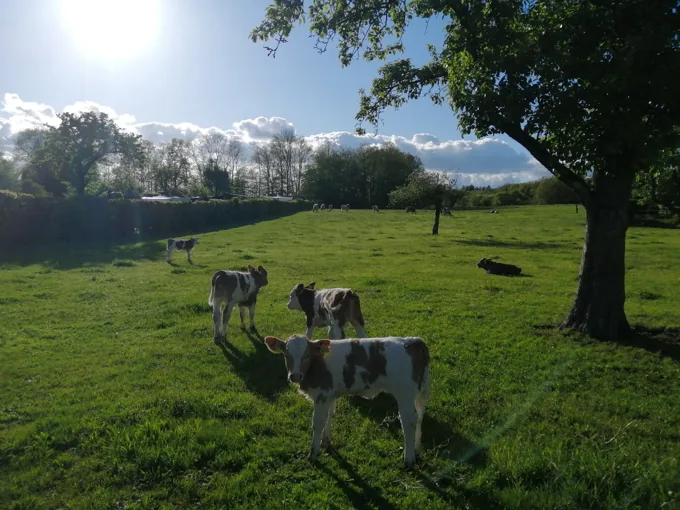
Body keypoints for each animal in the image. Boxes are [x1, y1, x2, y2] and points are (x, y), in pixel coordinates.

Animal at [263, 334, 431, 467]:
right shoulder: (330, 395)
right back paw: (416, 449)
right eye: (286, 355)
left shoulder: (322, 395)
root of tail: (412, 340)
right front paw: (326, 442)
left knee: (408, 421)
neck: (317, 364)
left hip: (404, 393)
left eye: (307, 356)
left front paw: (313, 454)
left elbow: (317, 423)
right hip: (417, 392)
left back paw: (408, 459)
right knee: (419, 416)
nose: (295, 376)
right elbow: (329, 416)